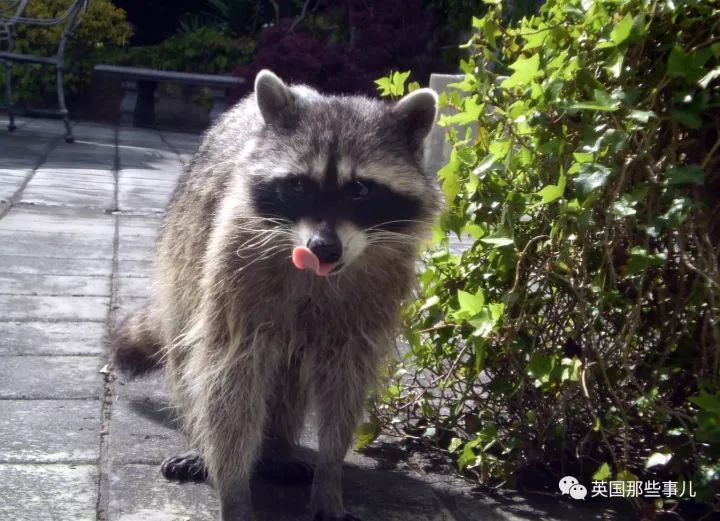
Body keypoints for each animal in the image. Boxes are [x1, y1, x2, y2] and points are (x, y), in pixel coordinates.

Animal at [111, 70, 438, 520]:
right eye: (298, 185)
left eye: (360, 190)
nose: (323, 248)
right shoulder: (235, 267)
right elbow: (229, 374)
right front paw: (233, 488)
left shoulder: (372, 295)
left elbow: (344, 385)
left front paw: (330, 476)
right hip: (183, 259)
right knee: (189, 357)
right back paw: (207, 447)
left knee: (289, 378)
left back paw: (277, 448)